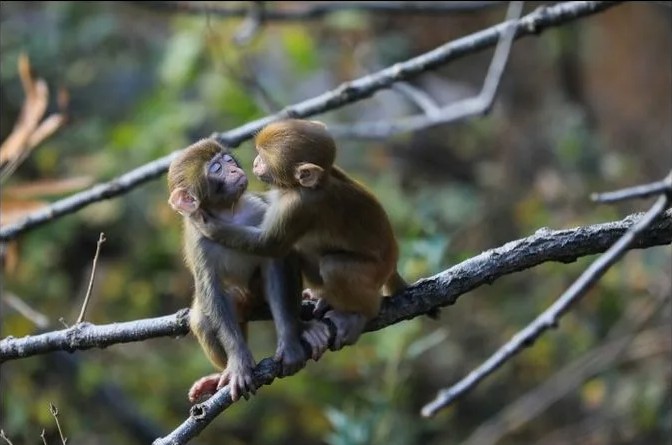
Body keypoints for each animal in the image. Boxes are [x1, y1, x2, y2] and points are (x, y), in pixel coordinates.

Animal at [168, 139, 330, 402]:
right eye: (216, 169)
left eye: (228, 160)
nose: (234, 169)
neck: (229, 212)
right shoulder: (198, 238)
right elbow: (212, 291)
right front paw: (238, 363)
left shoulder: (260, 210)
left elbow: (275, 260)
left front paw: (289, 342)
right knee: (204, 318)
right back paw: (218, 377)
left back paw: (303, 327)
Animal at [192, 118, 406, 350]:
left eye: (264, 159)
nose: (255, 162)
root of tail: (393, 261)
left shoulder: (299, 205)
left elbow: (269, 244)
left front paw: (209, 225)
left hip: (375, 272)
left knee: (334, 266)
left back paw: (358, 315)